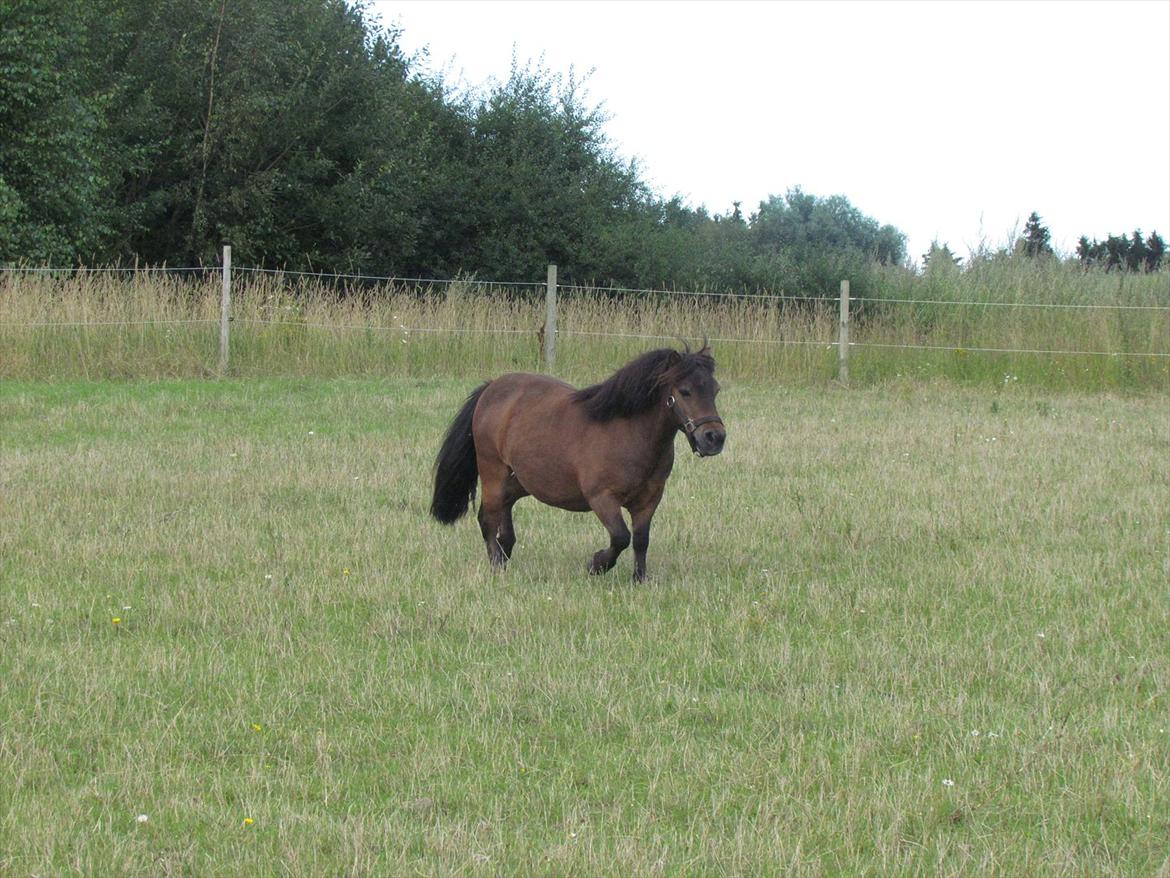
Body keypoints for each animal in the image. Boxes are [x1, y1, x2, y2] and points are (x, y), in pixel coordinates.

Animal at [430, 346, 720, 585]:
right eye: (684, 391)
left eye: (715, 390)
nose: (714, 437)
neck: (628, 432)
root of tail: (491, 388)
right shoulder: (602, 498)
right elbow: (621, 537)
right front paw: (596, 564)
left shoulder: (649, 500)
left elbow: (640, 540)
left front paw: (639, 579)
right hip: (494, 472)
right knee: (488, 518)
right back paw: (496, 565)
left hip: (521, 480)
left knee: (503, 511)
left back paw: (504, 552)